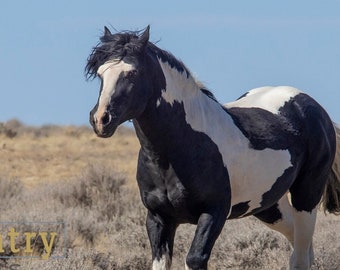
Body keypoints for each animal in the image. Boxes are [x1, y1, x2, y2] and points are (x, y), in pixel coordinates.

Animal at [86, 25, 340, 270]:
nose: (101, 119)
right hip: (268, 205)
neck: (181, 148)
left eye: (133, 72)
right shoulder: (158, 218)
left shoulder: (213, 213)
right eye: (100, 74)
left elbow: (195, 259)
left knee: (300, 257)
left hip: (306, 196)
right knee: (300, 245)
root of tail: (314, 107)